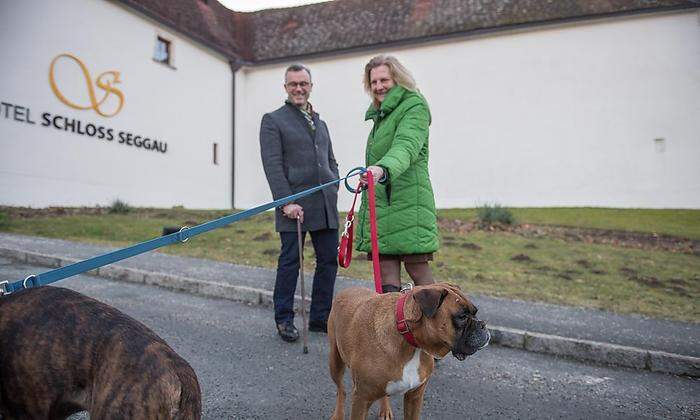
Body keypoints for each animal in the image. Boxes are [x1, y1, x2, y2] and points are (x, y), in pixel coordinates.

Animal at [330, 282, 490, 420]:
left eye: (475, 313)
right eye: (462, 317)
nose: (483, 325)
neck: (413, 345)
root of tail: (348, 289)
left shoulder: (415, 397)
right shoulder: (361, 399)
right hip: (335, 363)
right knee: (341, 390)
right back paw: (338, 415)